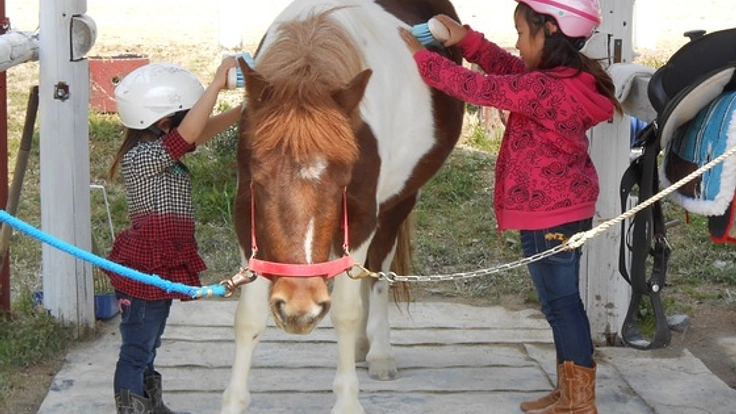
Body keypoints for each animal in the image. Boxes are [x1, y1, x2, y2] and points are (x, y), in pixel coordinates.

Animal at [220, 1, 464, 412]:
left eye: (341, 185)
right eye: (259, 181)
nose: (299, 308)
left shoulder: (363, 218)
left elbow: (347, 312)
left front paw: (347, 400)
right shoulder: (245, 222)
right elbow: (248, 316)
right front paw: (233, 403)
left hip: (397, 204)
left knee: (377, 274)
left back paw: (379, 352)